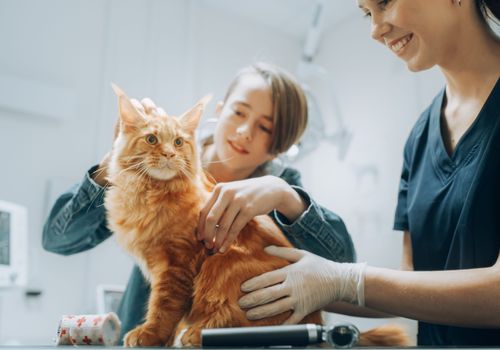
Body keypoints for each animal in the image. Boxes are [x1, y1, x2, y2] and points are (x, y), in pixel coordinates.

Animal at [105, 85, 410, 348]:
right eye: (152, 139)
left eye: (178, 142)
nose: (169, 154)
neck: (151, 193)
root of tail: (318, 323)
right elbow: (168, 309)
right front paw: (162, 337)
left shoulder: (177, 264)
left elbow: (164, 307)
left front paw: (150, 334)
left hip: (222, 263)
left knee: (244, 323)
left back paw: (197, 334)